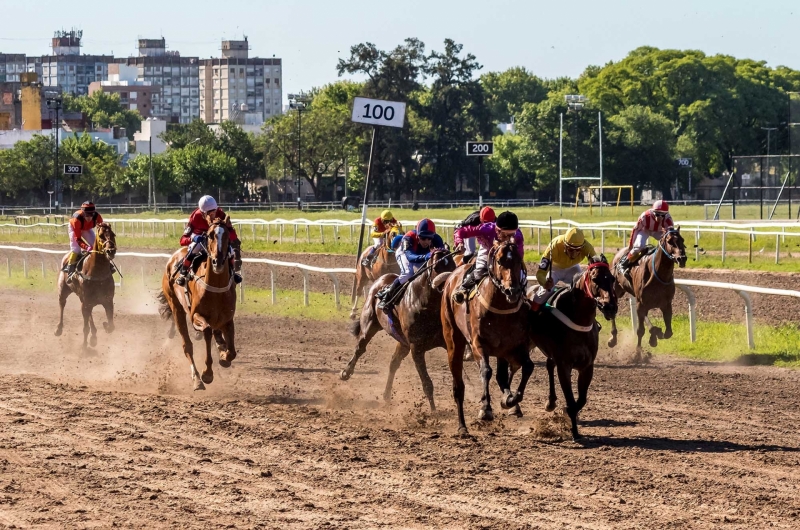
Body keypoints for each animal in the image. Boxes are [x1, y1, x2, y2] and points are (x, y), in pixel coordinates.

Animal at [157, 213, 238, 388]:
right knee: (187, 345)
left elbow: (232, 352)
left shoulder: (228, 319)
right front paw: (207, 373)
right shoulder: (196, 315)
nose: (217, 262)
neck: (216, 288)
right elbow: (206, 331)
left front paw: (224, 355)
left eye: (227, 235)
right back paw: (197, 379)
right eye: (209, 235)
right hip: (176, 306)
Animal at [340, 248, 456, 408]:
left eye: (453, 265)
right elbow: (427, 384)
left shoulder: (446, 342)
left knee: (394, 362)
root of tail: (381, 279)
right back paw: (346, 372)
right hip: (369, 324)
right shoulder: (416, 347)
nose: (449, 285)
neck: (427, 305)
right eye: (437, 267)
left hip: (402, 342)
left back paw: (386, 394)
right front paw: (434, 411)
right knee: (360, 347)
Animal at [440, 239, 536, 434]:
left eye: (518, 260)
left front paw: (510, 400)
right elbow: (486, 371)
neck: (500, 308)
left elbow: (527, 367)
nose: (512, 291)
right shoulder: (479, 344)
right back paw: (462, 427)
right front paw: (485, 409)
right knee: (458, 386)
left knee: (501, 376)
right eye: (499, 261)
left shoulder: (514, 347)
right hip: (453, 340)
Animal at [528, 258, 620, 438]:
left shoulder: (587, 366)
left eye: (612, 278)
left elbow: (581, 399)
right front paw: (574, 429)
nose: (610, 307)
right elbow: (571, 399)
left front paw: (570, 415)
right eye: (595, 279)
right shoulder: (564, 364)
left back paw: (551, 402)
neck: (579, 320)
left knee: (549, 365)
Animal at [612, 225, 688, 360]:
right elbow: (640, 331)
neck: (658, 274)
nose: (682, 259)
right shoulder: (641, 303)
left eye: (682, 240)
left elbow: (668, 333)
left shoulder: (666, 304)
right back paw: (613, 339)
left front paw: (655, 337)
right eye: (670, 241)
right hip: (617, 290)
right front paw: (637, 354)